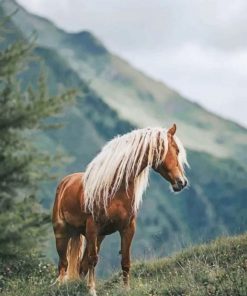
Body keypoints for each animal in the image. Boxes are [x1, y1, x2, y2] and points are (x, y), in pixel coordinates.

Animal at [51, 123, 187, 294]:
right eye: (176, 150)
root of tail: (65, 182)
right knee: (63, 264)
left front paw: (126, 289)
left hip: (96, 236)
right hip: (62, 232)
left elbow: (125, 261)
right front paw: (92, 290)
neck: (115, 189)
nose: (182, 182)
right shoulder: (92, 227)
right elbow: (93, 259)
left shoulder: (128, 228)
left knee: (80, 265)